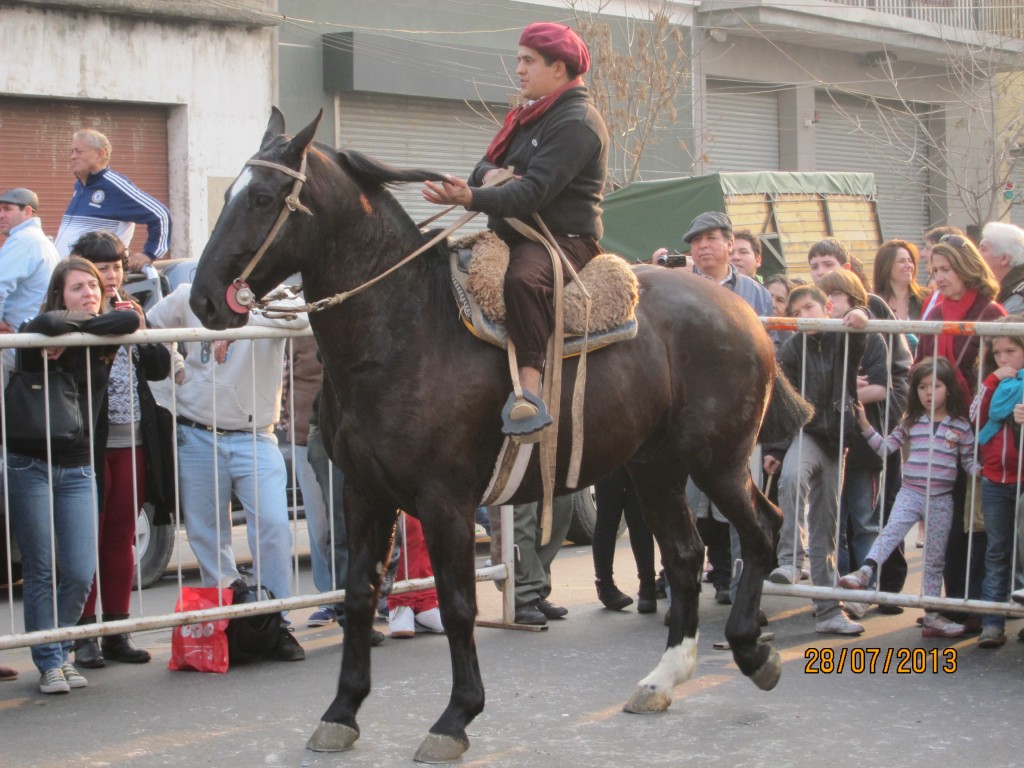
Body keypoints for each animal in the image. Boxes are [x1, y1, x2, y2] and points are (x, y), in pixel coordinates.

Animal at [190, 111, 806, 765]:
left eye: (262, 197)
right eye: (229, 194)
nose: (204, 298)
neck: (404, 329)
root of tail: (743, 312)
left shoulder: (445, 502)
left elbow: (459, 605)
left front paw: (456, 717)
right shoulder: (363, 494)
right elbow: (359, 595)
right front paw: (342, 710)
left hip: (717, 462)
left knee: (761, 531)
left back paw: (751, 650)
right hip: (654, 467)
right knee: (687, 556)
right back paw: (663, 678)